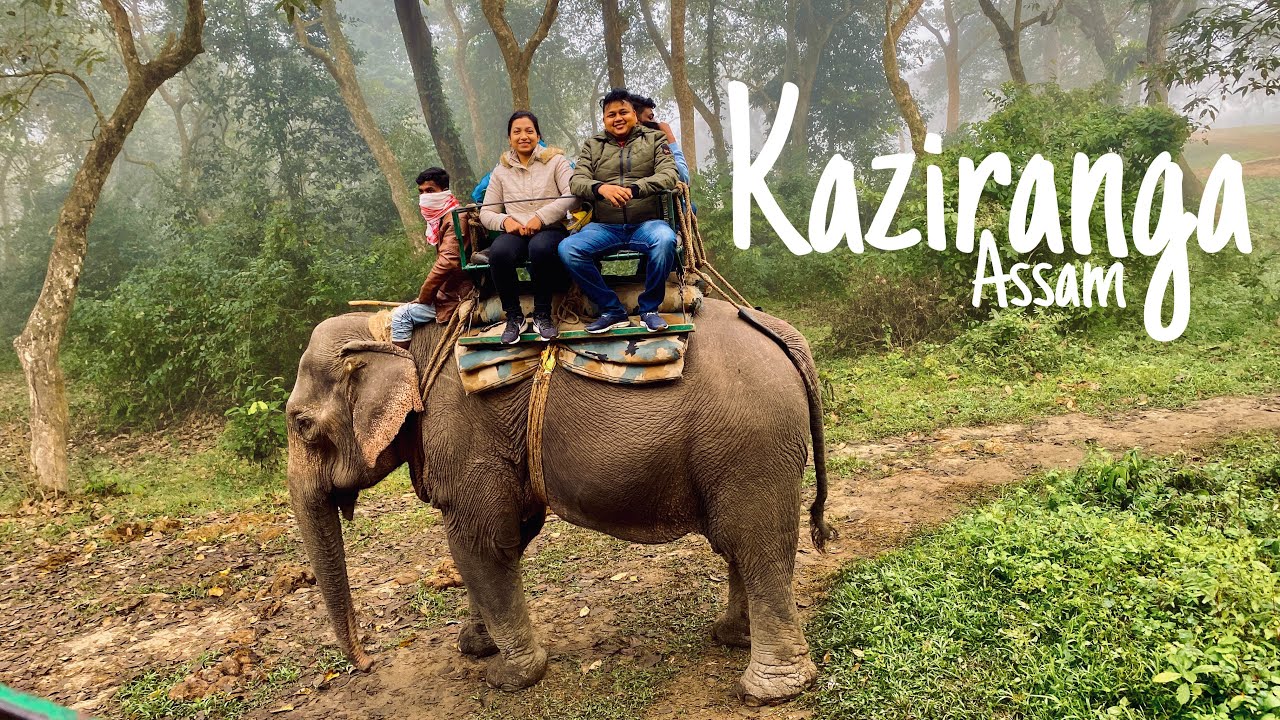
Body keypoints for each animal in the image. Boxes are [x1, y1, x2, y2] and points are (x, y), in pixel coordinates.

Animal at [284, 298, 834, 704]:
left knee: (757, 546)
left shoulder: (465, 434)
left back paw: (768, 691)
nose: (366, 662)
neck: (394, 338)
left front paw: (507, 678)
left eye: (301, 423)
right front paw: (475, 647)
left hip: (752, 444)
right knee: (739, 545)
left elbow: (481, 543)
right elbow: (510, 534)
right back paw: (731, 637)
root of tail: (783, 336)